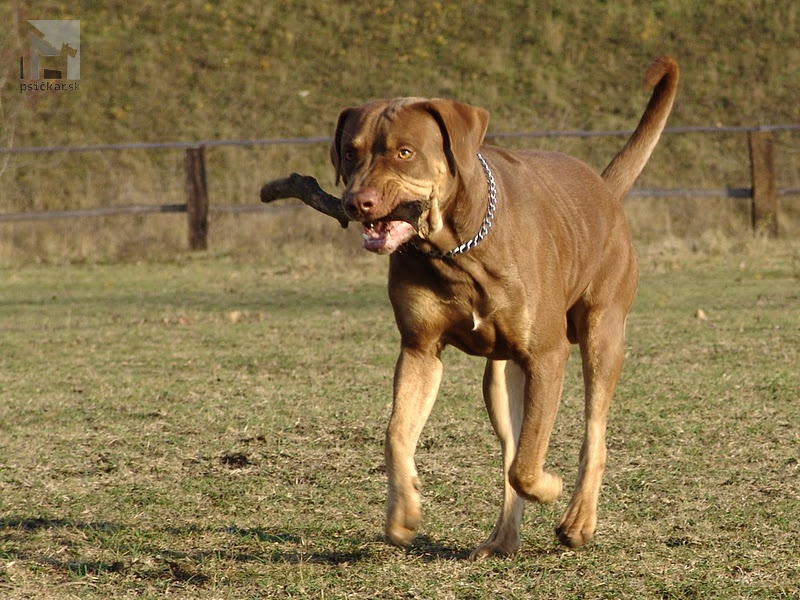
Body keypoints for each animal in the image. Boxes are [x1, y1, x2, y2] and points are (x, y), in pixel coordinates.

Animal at [328, 56, 680, 556]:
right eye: (350, 152)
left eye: (404, 152)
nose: (356, 202)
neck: (457, 249)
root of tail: (603, 188)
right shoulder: (419, 349)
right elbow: (397, 433)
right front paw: (403, 512)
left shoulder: (549, 355)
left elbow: (530, 463)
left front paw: (550, 487)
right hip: (499, 377)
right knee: (509, 450)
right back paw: (502, 539)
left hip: (603, 332)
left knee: (591, 433)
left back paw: (578, 520)